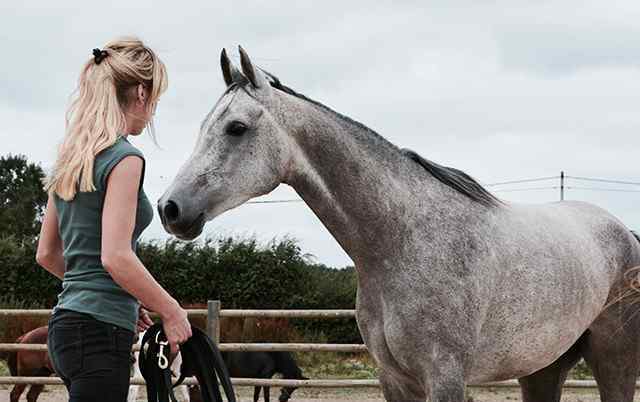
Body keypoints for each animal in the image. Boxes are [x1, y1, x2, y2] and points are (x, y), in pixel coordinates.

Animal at [159, 48, 640, 402]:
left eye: (236, 128)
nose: (170, 208)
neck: (403, 242)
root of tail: (625, 233)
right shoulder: (394, 378)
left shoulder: (444, 376)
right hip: (542, 368)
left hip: (613, 360)